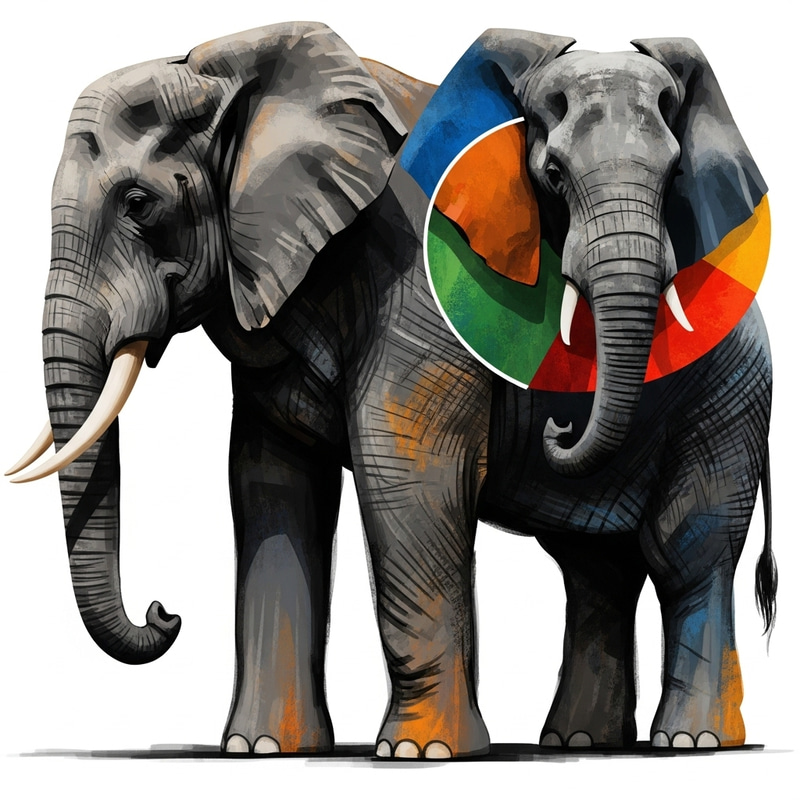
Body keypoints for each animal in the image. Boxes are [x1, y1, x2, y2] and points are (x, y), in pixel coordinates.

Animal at [9, 27, 774, 759]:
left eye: (138, 203)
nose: (165, 614)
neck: (228, 67)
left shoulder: (423, 278)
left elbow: (407, 475)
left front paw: (421, 753)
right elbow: (272, 486)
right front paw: (259, 750)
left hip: (729, 400)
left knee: (687, 548)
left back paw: (692, 741)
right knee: (593, 567)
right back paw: (582, 742)